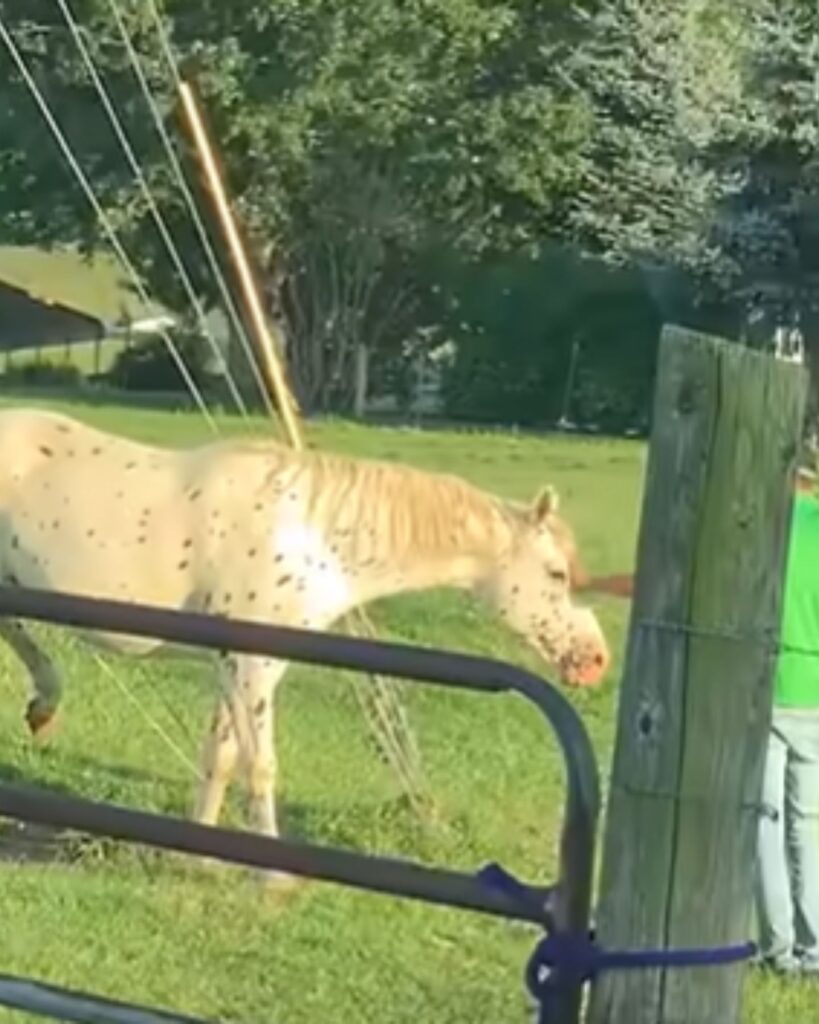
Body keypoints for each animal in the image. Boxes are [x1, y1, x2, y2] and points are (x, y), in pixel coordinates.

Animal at [0, 405, 606, 880]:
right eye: (556, 574)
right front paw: (272, 876)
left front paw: (199, 857)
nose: (595, 659)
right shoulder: (251, 666)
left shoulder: (240, 668)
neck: (314, 537)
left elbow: (221, 758)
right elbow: (260, 765)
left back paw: (44, 706)